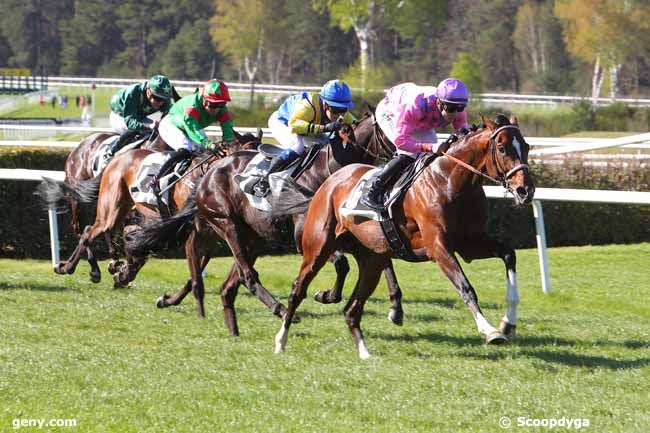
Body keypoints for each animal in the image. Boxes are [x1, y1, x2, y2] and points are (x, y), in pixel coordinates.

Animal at [274, 114, 532, 358]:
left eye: (527, 146)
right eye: (502, 148)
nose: (525, 190)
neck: (450, 181)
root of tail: (329, 182)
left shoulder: (470, 243)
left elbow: (509, 254)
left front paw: (508, 323)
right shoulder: (438, 247)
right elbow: (465, 286)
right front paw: (490, 331)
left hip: (372, 260)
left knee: (351, 309)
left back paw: (364, 352)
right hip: (317, 249)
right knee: (298, 290)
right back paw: (281, 340)